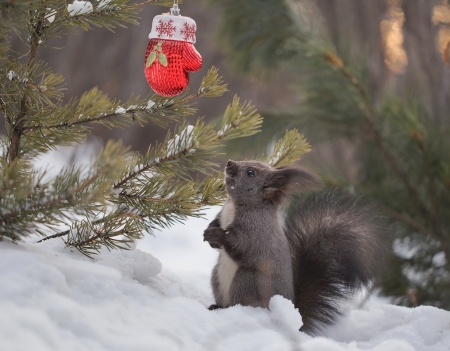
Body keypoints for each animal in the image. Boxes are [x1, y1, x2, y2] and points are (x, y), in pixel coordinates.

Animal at [202, 161, 384, 334]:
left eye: (251, 173)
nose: (229, 163)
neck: (236, 205)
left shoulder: (255, 232)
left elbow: (240, 246)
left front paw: (216, 235)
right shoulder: (222, 215)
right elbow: (217, 226)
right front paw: (208, 232)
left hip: (247, 281)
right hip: (217, 276)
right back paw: (216, 306)